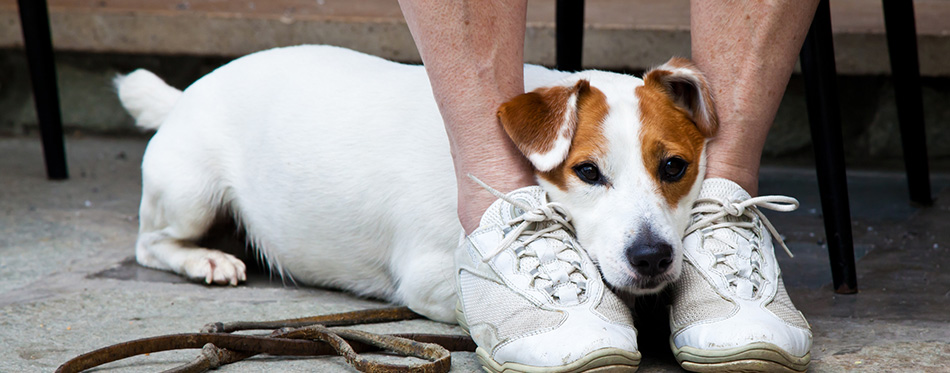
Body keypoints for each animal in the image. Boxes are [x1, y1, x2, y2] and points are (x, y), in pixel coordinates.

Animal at [117, 45, 712, 322]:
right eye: (587, 172)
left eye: (674, 167)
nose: (652, 257)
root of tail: (182, 95)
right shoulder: (429, 278)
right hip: (191, 193)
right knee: (151, 244)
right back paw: (207, 259)